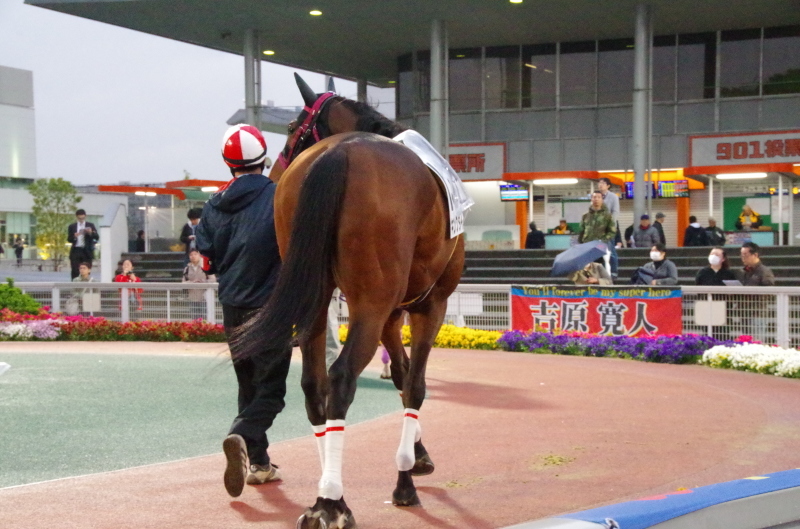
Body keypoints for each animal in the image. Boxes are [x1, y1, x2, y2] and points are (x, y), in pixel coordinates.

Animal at [238, 75, 462, 528]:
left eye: (292, 128)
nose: (274, 171)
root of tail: (338, 152)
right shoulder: (429, 305)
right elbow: (415, 385)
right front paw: (405, 480)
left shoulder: (393, 314)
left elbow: (401, 377)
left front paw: (417, 457)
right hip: (372, 306)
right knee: (341, 379)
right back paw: (332, 503)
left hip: (317, 300)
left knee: (314, 384)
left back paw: (325, 493)